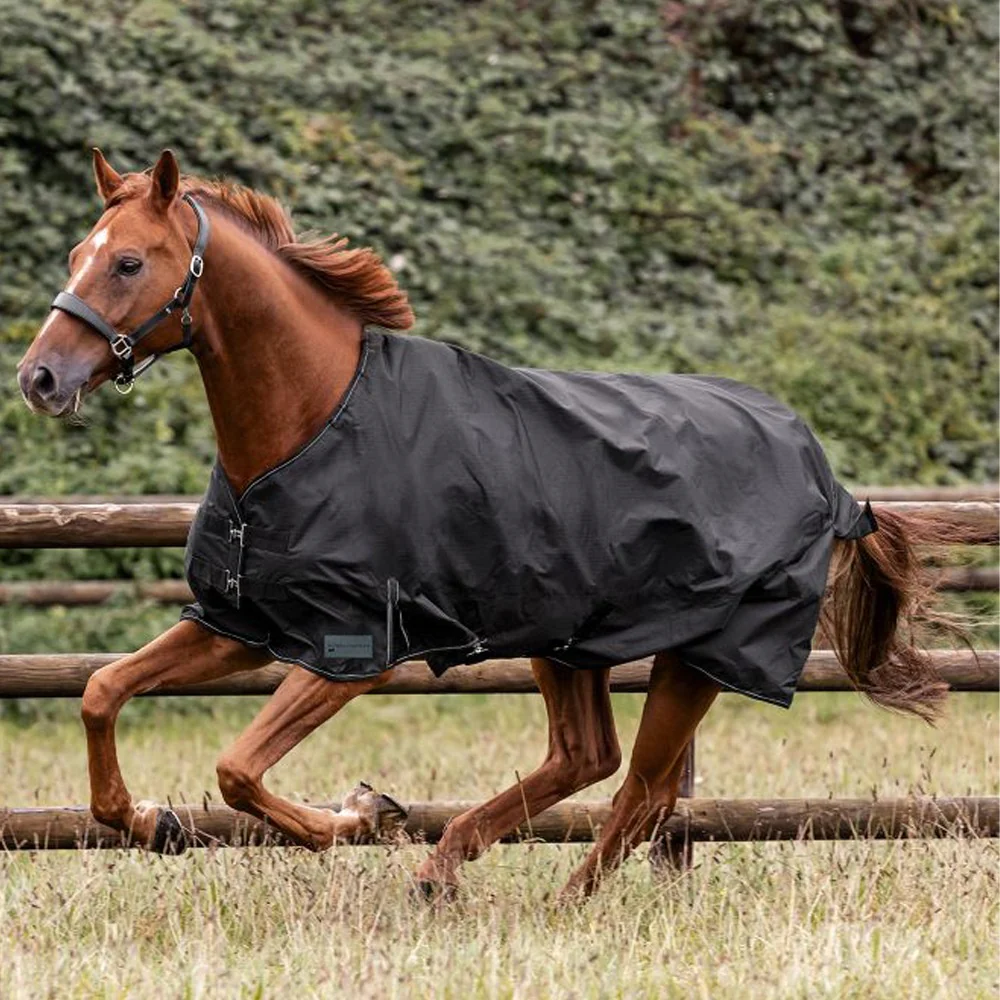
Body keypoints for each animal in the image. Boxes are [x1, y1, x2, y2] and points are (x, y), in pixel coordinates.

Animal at [17, 149, 957, 899]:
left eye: (128, 261)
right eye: (75, 255)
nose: (40, 379)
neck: (312, 423)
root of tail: (825, 473)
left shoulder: (351, 652)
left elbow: (238, 767)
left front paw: (357, 817)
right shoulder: (241, 624)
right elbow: (102, 692)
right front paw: (153, 823)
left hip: (701, 656)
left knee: (642, 789)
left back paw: (547, 901)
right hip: (568, 640)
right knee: (588, 759)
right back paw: (450, 870)